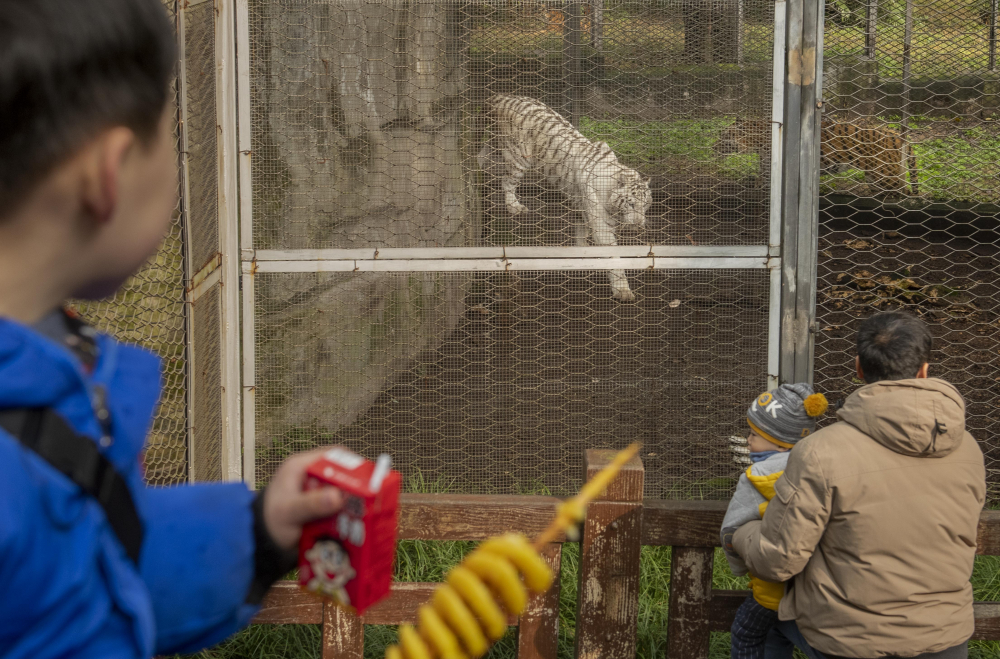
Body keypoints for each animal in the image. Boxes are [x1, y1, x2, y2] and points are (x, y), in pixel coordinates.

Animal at [478, 94, 652, 302]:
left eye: (645, 205)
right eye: (631, 204)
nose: (639, 225)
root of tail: (500, 96)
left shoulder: (582, 207)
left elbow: (581, 232)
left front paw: (583, 252)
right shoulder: (601, 224)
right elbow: (613, 256)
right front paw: (622, 290)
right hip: (518, 158)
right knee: (506, 181)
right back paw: (514, 206)